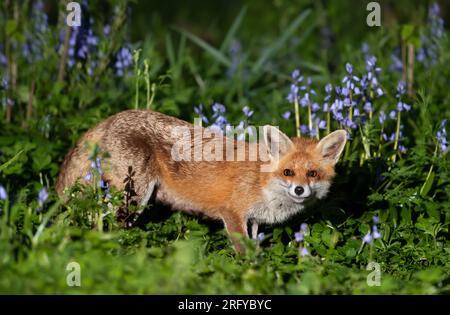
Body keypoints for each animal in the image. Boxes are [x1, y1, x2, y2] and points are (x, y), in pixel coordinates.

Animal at [55, 110, 344, 253]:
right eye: (288, 172)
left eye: (312, 174)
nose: (299, 189)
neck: (263, 182)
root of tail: (113, 117)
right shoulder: (232, 213)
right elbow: (245, 252)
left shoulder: (253, 220)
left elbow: (254, 243)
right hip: (133, 197)